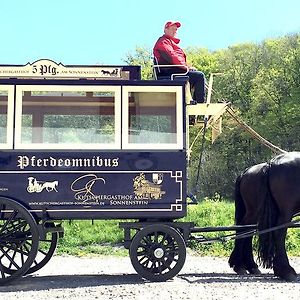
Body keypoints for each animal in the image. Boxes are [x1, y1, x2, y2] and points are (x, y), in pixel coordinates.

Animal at [230, 152, 300, 282]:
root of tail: (271, 164)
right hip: (285, 211)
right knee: (278, 233)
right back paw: (286, 271)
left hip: (254, 211)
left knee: (246, 230)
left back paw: (248, 266)